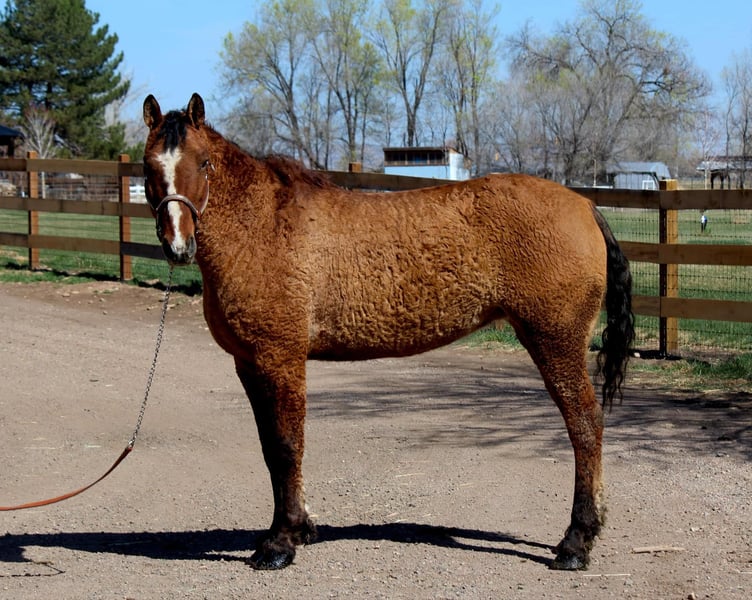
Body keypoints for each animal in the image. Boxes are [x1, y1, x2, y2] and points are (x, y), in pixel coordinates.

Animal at [141, 93, 634, 571]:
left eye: (204, 162)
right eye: (148, 167)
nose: (178, 245)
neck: (262, 225)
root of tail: (584, 205)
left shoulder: (280, 358)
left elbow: (286, 446)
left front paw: (280, 543)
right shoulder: (248, 364)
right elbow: (270, 448)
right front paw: (298, 528)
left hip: (555, 342)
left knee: (585, 425)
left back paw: (575, 543)